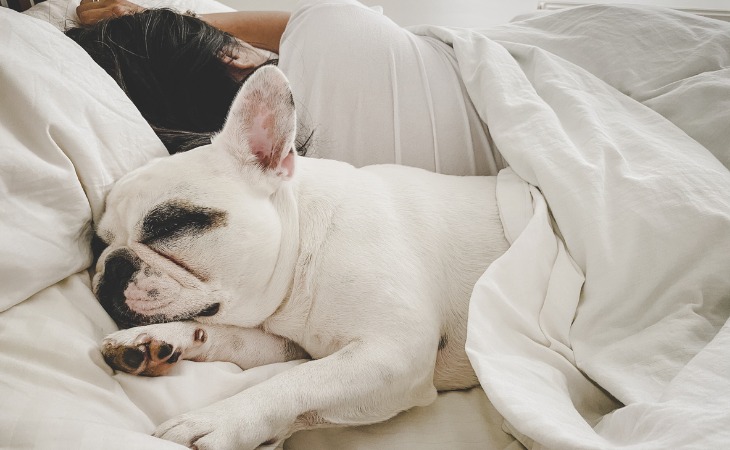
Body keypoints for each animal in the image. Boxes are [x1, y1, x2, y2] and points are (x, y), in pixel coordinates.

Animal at [95, 65, 506, 448]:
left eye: (172, 225)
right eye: (99, 243)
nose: (111, 267)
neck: (307, 251)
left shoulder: (394, 352)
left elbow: (295, 381)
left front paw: (216, 421)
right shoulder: (289, 343)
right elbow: (231, 338)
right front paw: (158, 338)